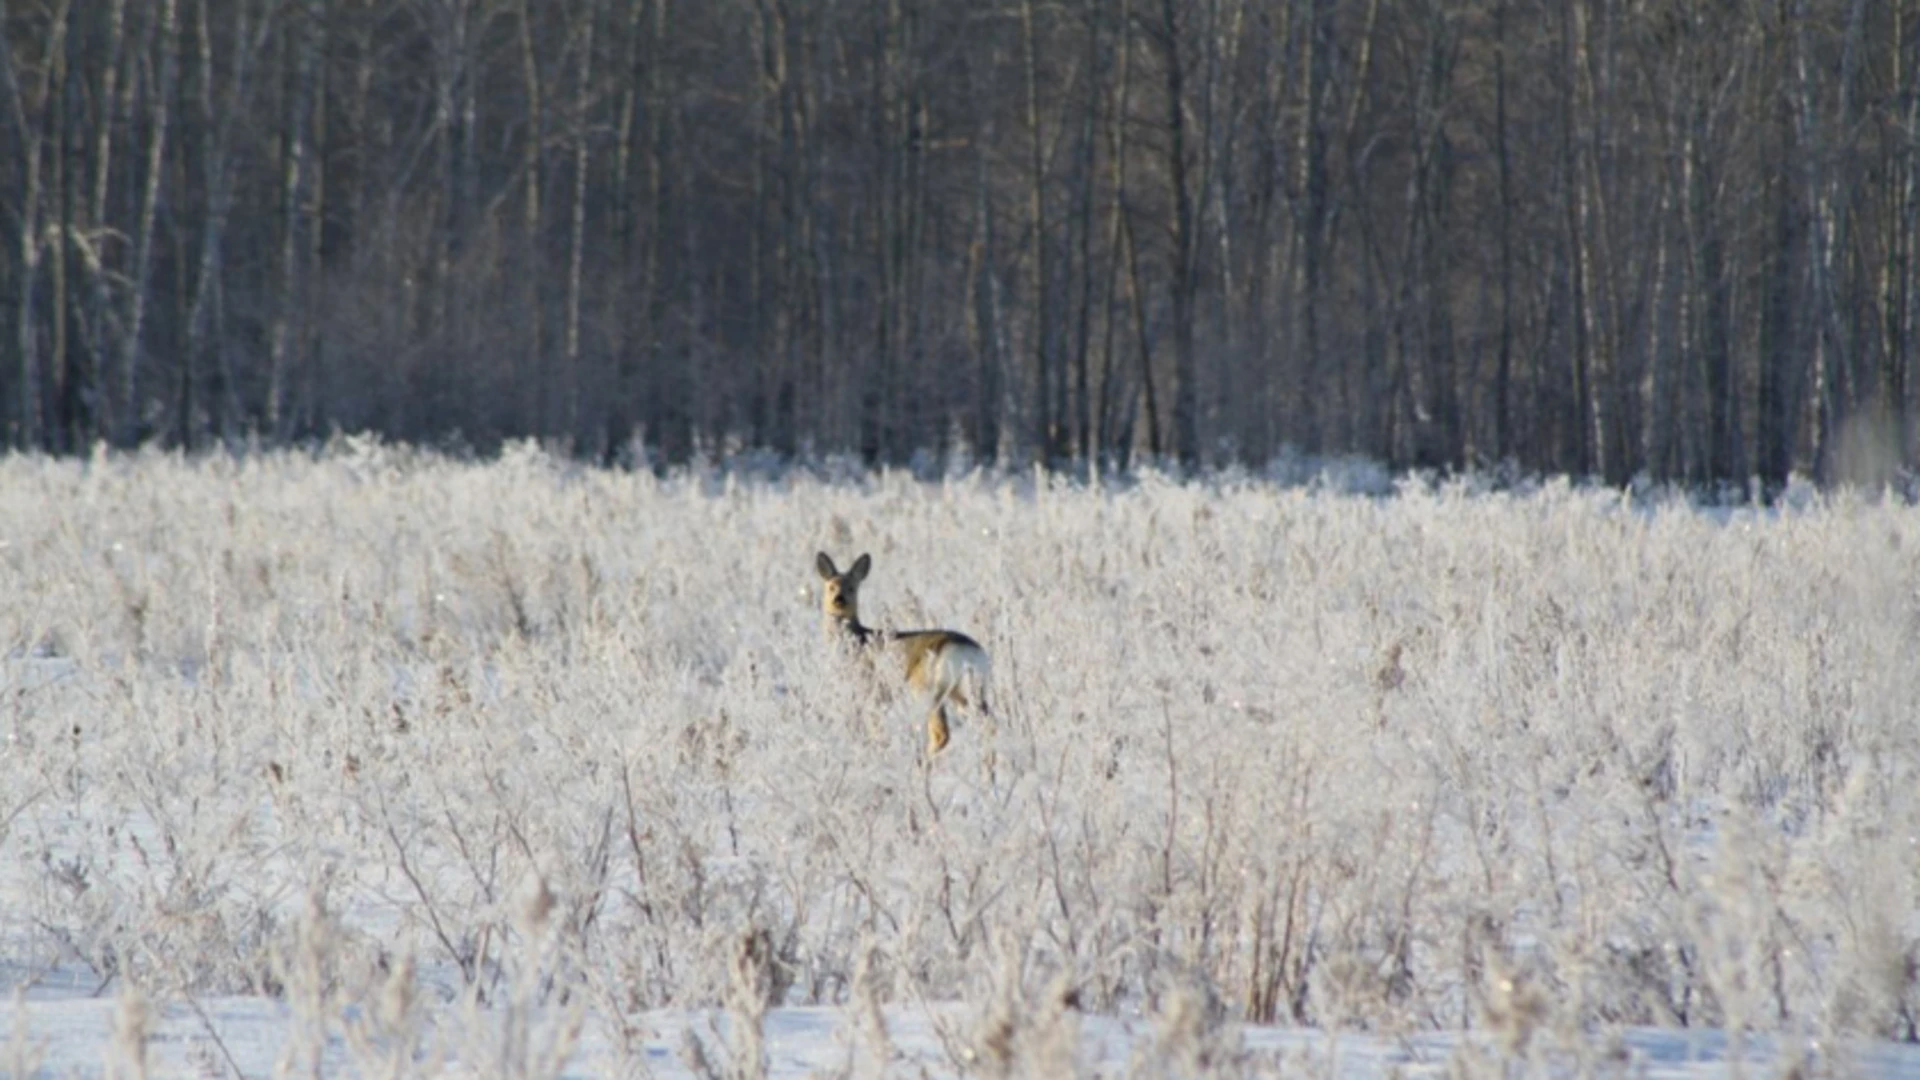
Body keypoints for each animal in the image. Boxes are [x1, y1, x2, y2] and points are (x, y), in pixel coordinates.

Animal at [814, 549, 990, 753]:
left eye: (852, 588)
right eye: (831, 587)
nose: (839, 600)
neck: (857, 640)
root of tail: (970, 652)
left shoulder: (871, 686)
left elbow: (875, 725)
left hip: (926, 687)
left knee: (941, 733)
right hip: (966, 689)